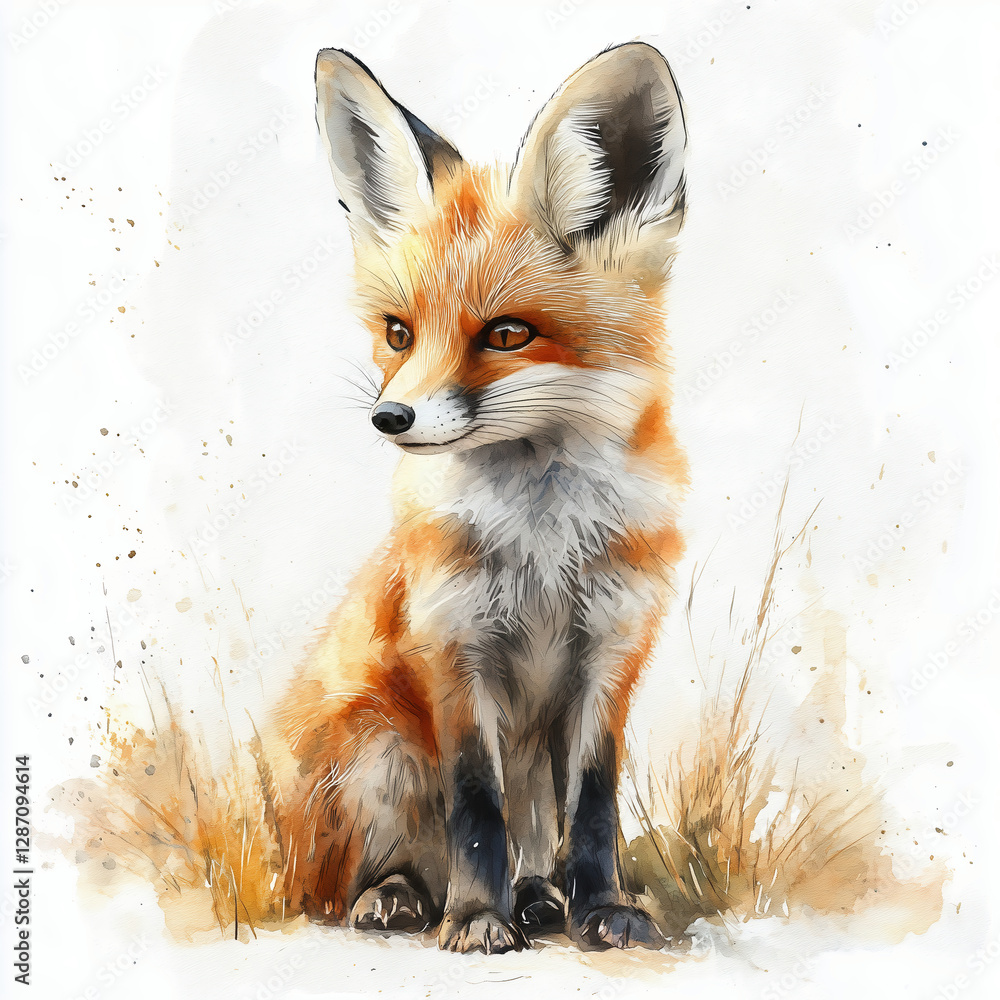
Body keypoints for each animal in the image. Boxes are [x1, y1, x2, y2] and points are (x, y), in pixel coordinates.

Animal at [271, 42, 690, 954]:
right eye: (398, 333)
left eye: (505, 334)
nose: (390, 417)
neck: (543, 543)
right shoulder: (455, 651)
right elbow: (474, 810)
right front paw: (473, 918)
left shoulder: (612, 653)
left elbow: (593, 809)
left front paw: (603, 909)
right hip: (384, 752)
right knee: (362, 877)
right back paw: (401, 897)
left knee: (536, 836)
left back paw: (538, 899)